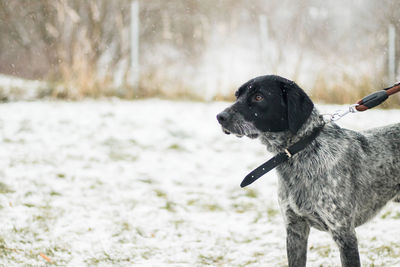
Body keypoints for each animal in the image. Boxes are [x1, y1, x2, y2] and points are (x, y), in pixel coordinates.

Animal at [217, 75, 398, 267]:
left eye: (259, 97)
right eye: (237, 95)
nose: (220, 117)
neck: (299, 152)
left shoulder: (344, 233)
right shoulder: (295, 230)